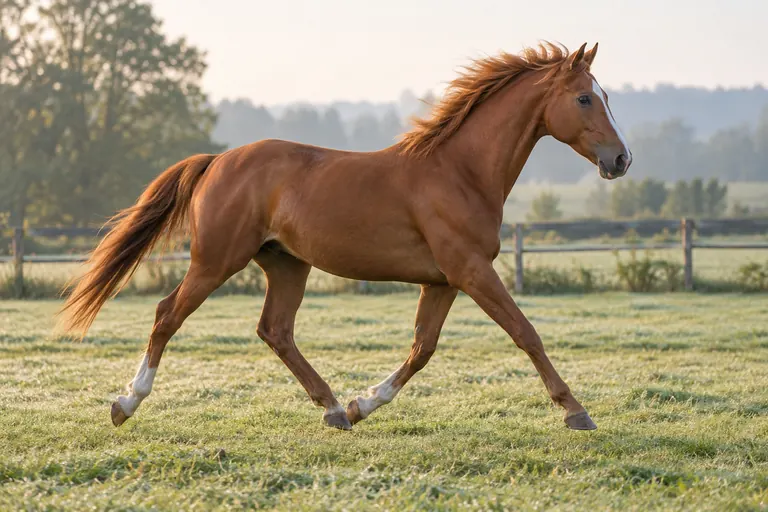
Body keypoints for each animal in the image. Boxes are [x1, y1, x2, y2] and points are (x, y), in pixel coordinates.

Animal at [59, 42, 631, 432]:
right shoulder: (471, 270)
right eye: (585, 97)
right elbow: (525, 333)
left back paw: (333, 408)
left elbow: (422, 349)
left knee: (275, 331)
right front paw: (577, 413)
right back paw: (125, 403)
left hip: (286, 264)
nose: (621, 160)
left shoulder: (443, 280)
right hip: (216, 260)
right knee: (167, 315)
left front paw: (362, 404)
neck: (460, 172)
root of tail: (218, 160)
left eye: (605, 96)